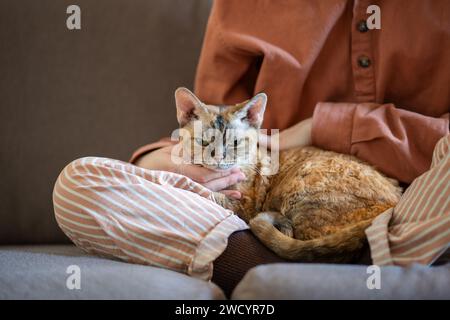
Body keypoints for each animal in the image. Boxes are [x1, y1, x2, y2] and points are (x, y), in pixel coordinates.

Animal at [174, 87, 402, 262]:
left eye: (235, 143)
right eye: (204, 142)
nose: (219, 157)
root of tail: (391, 207)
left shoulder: (243, 206)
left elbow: (213, 195)